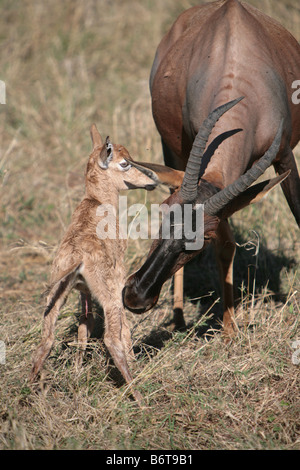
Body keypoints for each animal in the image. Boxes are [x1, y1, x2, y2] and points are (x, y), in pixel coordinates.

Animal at [122, 0, 300, 338]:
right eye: (164, 212)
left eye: (202, 238)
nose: (136, 296)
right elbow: (227, 246)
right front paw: (230, 329)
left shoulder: (283, 156)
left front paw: (230, 329)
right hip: (172, 147)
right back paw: (178, 317)